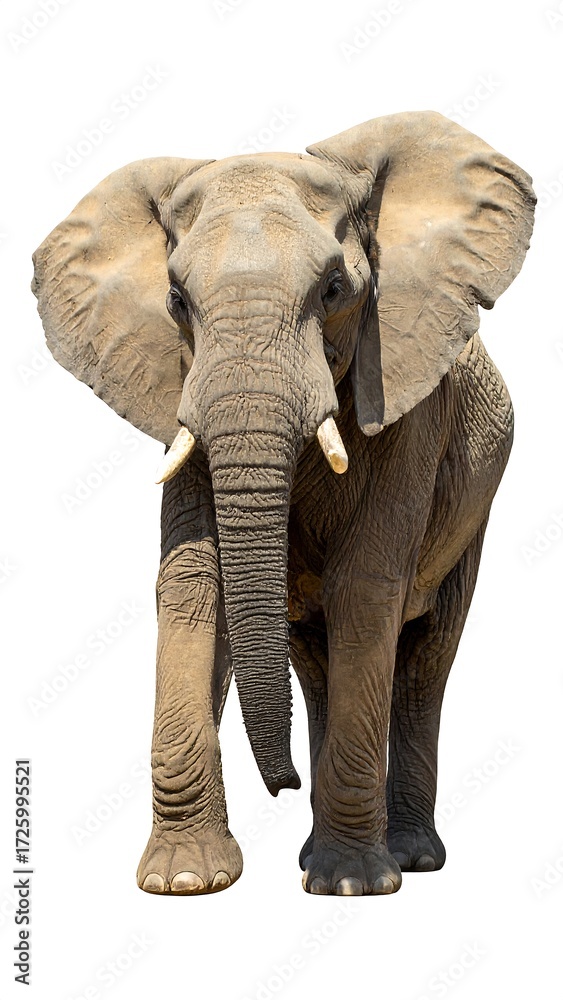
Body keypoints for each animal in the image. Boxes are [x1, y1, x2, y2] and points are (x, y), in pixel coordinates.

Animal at [32, 111, 535, 897]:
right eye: (176, 301)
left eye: (334, 289)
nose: (284, 782)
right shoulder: (181, 390)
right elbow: (193, 583)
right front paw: (185, 881)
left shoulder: (408, 396)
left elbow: (366, 585)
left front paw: (351, 885)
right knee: (314, 658)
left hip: (474, 507)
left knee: (425, 658)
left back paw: (410, 858)